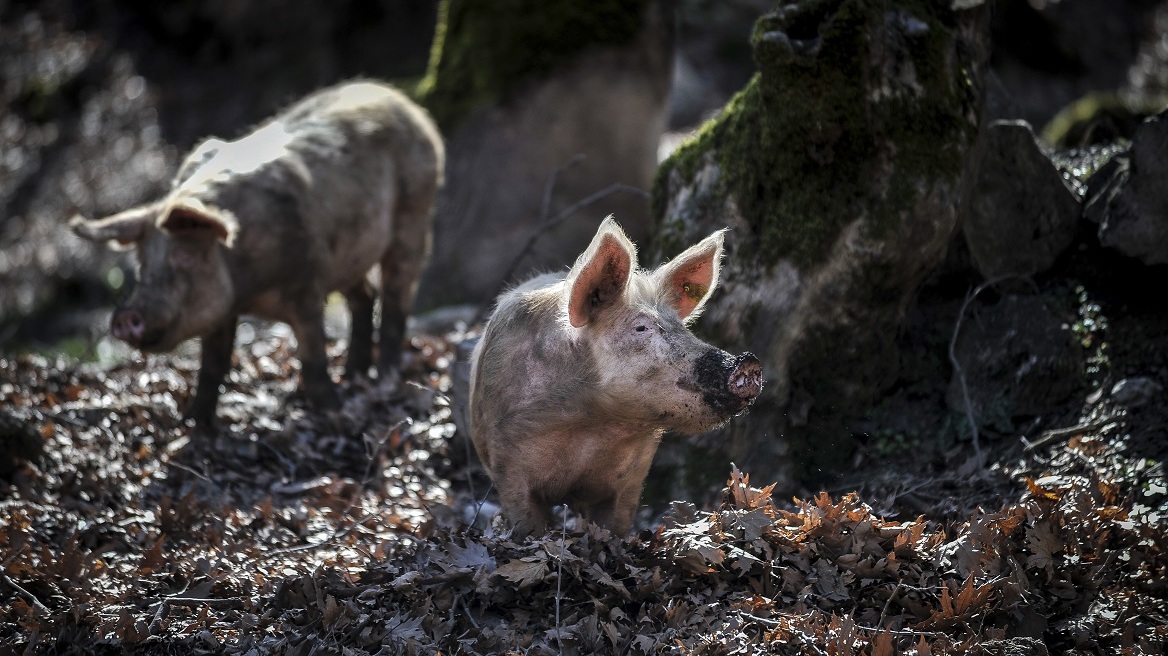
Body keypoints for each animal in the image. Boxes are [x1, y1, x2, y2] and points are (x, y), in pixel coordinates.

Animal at [69, 80, 441, 424]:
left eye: (185, 256)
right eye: (142, 263)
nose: (124, 315)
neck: (248, 289)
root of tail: (408, 106)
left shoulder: (307, 287)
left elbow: (313, 360)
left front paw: (333, 412)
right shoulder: (222, 307)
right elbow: (212, 365)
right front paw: (194, 425)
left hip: (415, 217)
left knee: (396, 299)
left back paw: (384, 379)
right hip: (350, 256)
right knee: (365, 295)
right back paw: (353, 375)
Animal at [469, 217, 761, 534]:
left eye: (682, 328)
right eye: (641, 328)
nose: (748, 361)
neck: (592, 422)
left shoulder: (630, 478)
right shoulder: (508, 462)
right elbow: (525, 521)